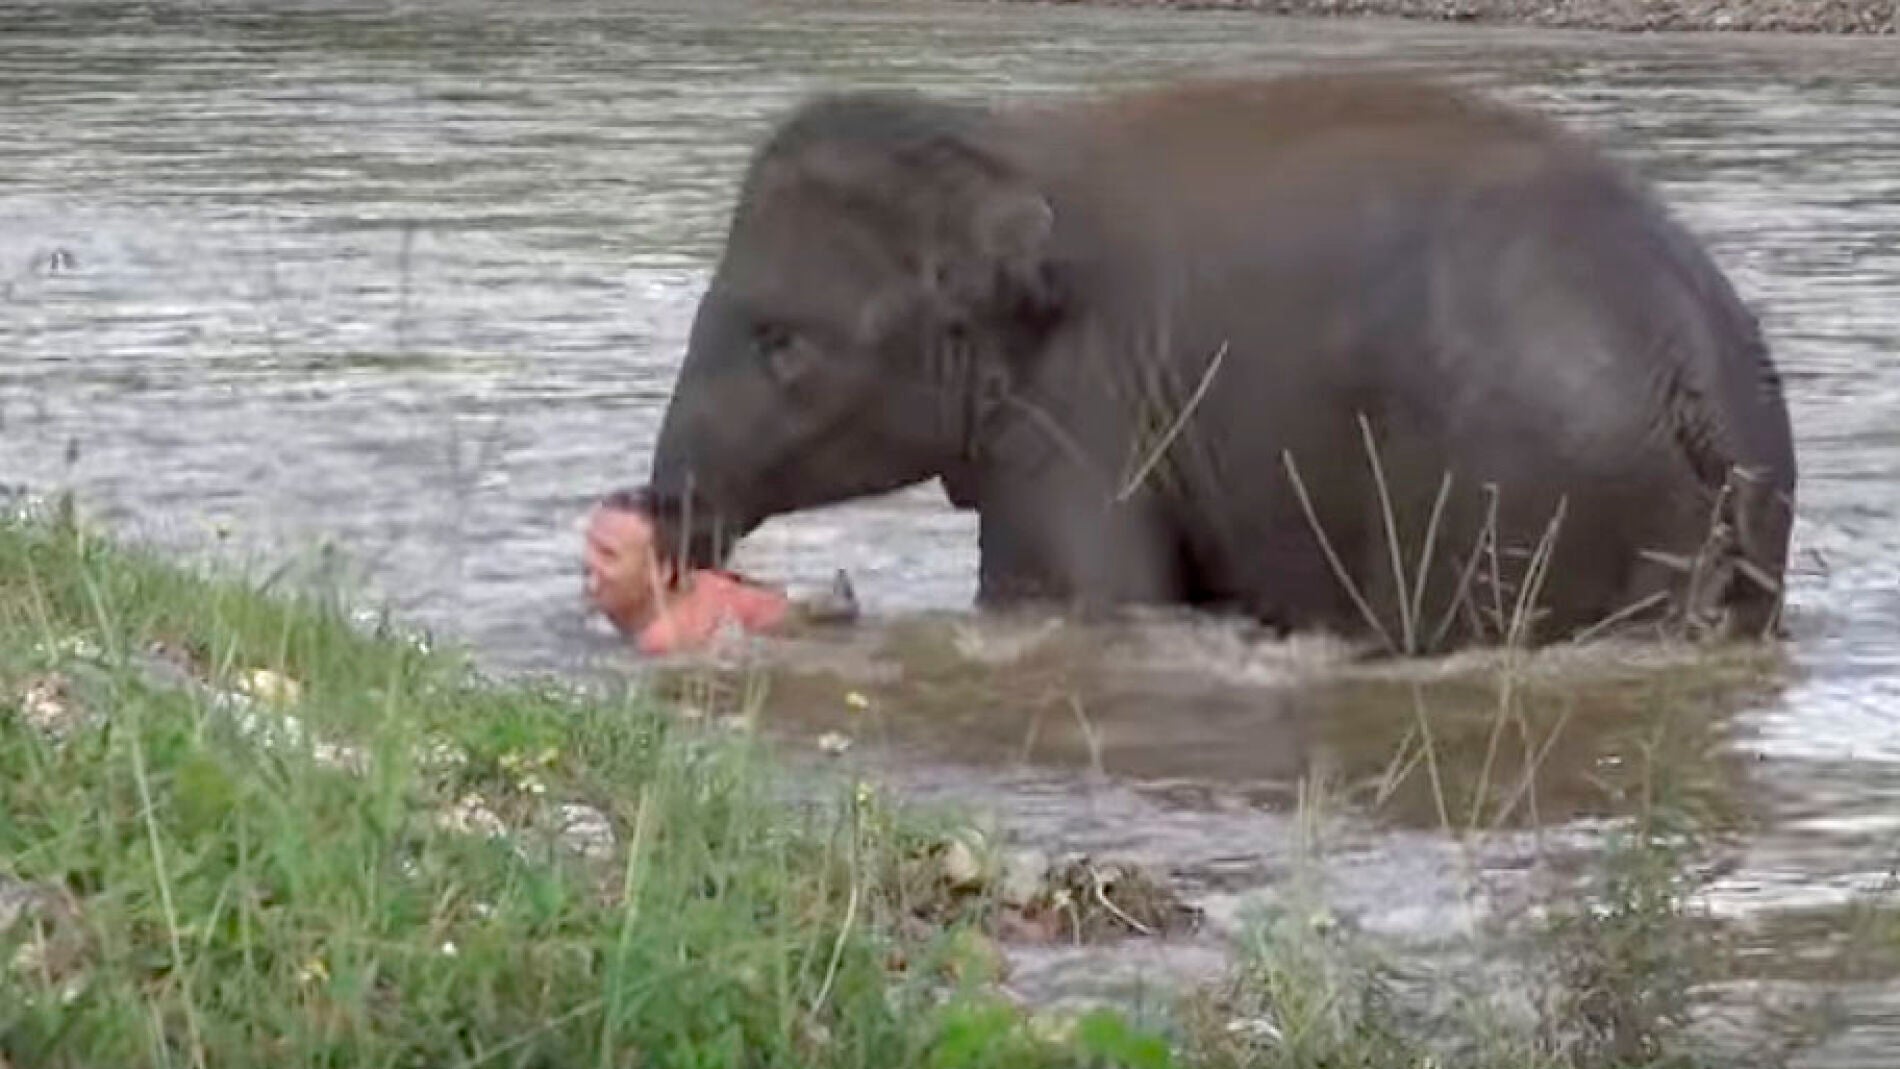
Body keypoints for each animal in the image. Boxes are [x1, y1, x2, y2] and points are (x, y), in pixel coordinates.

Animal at [640, 72, 1797, 653]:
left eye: (780, 341)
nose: (646, 521)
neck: (1000, 143)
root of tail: (1700, 385)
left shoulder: (1086, 408)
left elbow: (1082, 597)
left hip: (1516, 491)